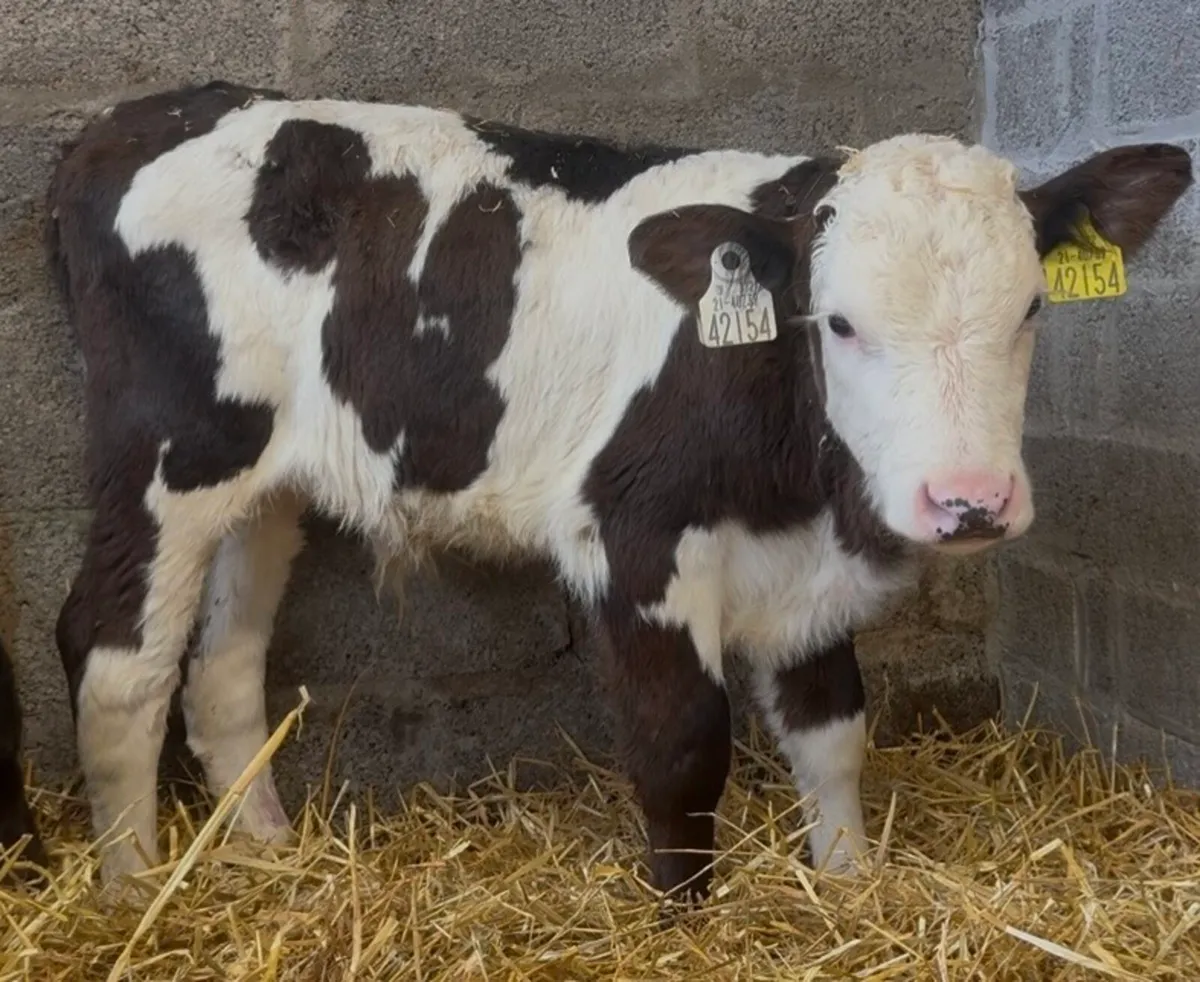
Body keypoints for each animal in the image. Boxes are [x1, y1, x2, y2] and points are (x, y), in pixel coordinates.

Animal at [44, 80, 1192, 898]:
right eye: (840, 321)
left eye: (1033, 307)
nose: (969, 501)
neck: (802, 483)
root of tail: (130, 117)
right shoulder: (635, 531)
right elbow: (683, 739)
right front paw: (686, 911)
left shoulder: (812, 568)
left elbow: (834, 730)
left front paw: (850, 881)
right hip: (167, 450)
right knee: (116, 654)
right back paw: (133, 891)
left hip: (263, 484)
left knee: (222, 668)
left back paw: (272, 855)